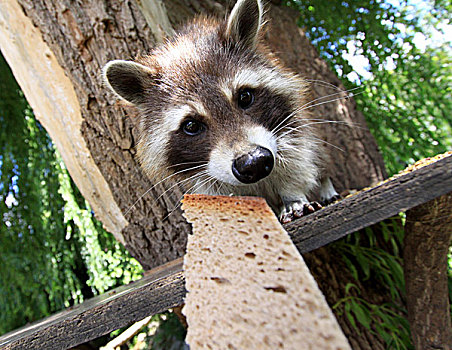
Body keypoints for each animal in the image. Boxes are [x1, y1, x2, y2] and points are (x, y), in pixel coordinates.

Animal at [103, 0, 340, 223]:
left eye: (245, 97)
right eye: (191, 125)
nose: (254, 163)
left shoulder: (289, 124)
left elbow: (295, 159)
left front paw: (292, 194)